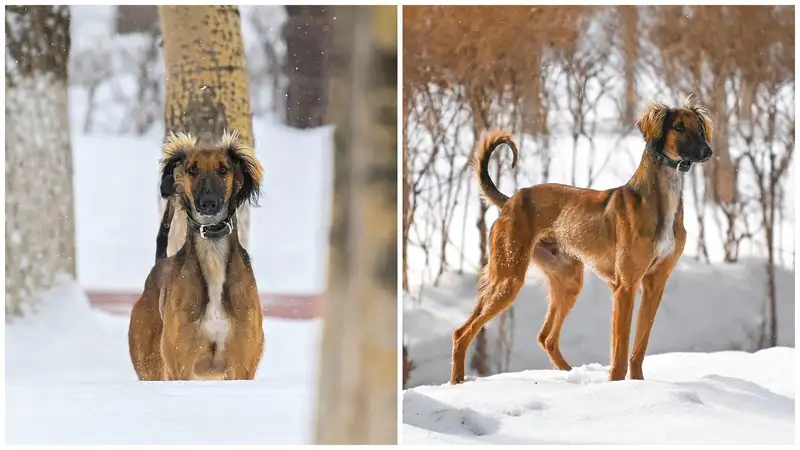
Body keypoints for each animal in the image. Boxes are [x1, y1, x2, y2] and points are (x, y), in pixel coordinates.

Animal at [128, 129, 266, 380]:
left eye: (224, 169)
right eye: (192, 169)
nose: (208, 203)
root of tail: (160, 263)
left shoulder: (243, 365)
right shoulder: (181, 365)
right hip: (151, 365)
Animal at [450, 95, 712, 384]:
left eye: (699, 128)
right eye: (678, 127)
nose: (708, 151)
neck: (659, 200)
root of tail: (511, 201)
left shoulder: (655, 284)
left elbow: (638, 348)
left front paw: (638, 385)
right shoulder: (626, 286)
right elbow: (620, 351)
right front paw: (616, 385)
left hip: (568, 280)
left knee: (546, 337)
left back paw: (570, 375)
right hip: (508, 278)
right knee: (462, 333)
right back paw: (457, 382)